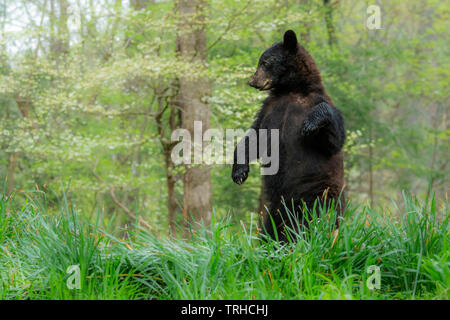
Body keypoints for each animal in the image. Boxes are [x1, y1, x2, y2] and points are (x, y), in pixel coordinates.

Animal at [232, 30, 344, 242]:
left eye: (265, 62)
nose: (252, 82)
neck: (291, 90)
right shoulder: (270, 109)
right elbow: (254, 136)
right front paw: (239, 172)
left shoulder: (316, 101)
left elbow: (333, 140)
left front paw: (310, 123)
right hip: (275, 206)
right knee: (272, 226)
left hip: (318, 192)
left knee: (319, 217)